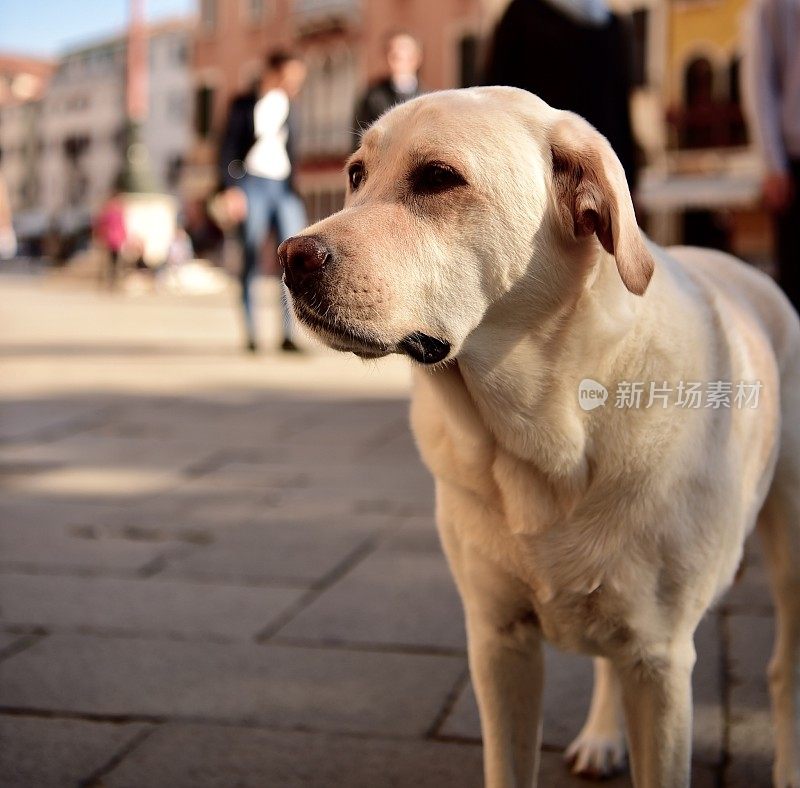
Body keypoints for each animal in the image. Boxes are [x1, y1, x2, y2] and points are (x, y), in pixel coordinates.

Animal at [280, 87, 800, 788]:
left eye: (438, 177)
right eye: (356, 175)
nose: (289, 258)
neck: (537, 438)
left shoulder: (662, 662)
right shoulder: (499, 642)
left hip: (790, 550)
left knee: (783, 671)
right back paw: (603, 737)